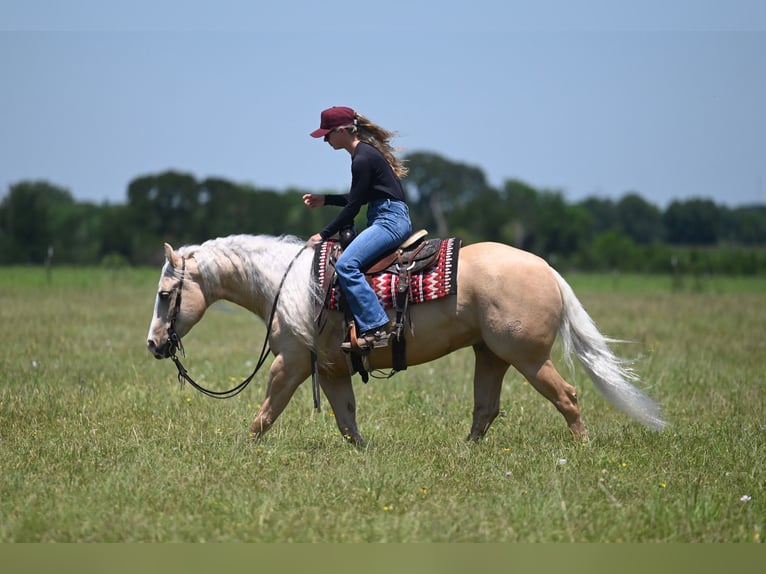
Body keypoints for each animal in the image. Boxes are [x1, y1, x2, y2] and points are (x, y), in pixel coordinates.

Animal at [146, 234, 665, 446]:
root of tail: (547, 269)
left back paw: (582, 450)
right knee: (485, 409)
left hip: (529, 357)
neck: (287, 283)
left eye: (165, 294)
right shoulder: (330, 369)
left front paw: (243, 451)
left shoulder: (290, 363)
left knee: (568, 397)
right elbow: (346, 420)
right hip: (491, 354)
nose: (153, 344)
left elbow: (264, 415)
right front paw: (364, 455)